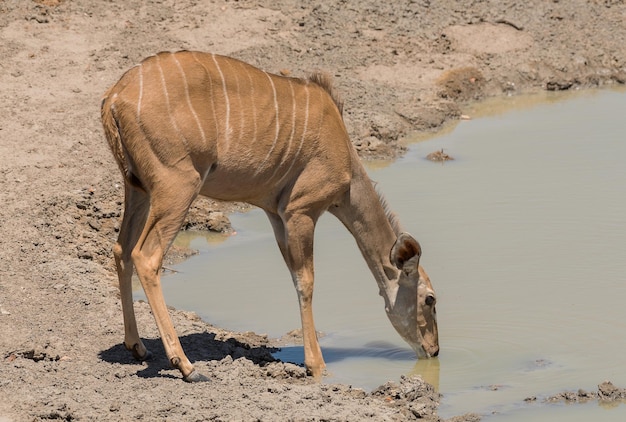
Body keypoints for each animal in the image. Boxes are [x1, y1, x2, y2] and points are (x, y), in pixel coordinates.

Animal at [100, 50, 436, 382]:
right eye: (430, 299)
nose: (433, 350)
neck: (347, 165)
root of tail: (114, 97)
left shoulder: (277, 215)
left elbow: (295, 277)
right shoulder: (301, 210)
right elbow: (306, 281)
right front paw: (316, 365)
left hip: (138, 189)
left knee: (121, 250)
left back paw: (137, 346)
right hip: (178, 188)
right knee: (145, 256)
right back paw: (186, 366)